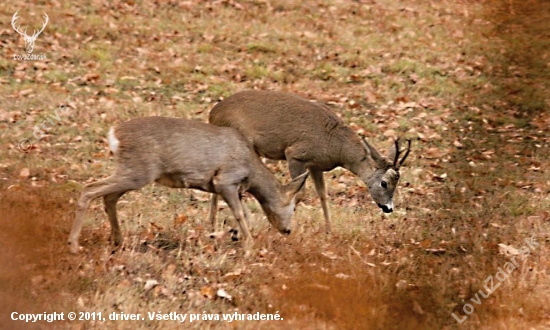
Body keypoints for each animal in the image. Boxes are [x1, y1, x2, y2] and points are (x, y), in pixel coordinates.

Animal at [67, 117, 308, 254]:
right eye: (294, 207)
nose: (287, 230)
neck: (252, 171)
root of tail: (114, 135)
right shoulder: (225, 180)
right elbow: (240, 214)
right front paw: (249, 247)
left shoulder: (233, 188)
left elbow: (246, 214)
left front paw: (237, 238)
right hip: (138, 171)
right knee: (89, 190)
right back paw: (74, 245)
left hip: (133, 171)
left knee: (108, 197)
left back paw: (117, 241)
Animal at [209, 90, 412, 233]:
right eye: (384, 183)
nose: (389, 208)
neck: (336, 146)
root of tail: (212, 114)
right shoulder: (295, 154)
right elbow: (299, 193)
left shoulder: (316, 165)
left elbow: (322, 194)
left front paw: (329, 231)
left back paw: (212, 225)